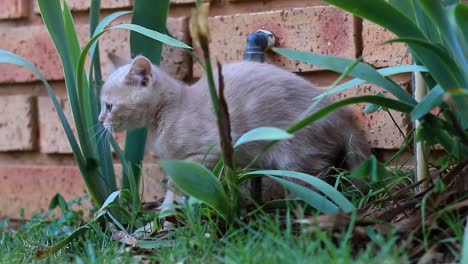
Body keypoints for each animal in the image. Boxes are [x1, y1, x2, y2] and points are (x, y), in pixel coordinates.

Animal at [100, 55, 372, 206]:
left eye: (108, 106)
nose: (101, 119)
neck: (172, 109)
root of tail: (341, 114)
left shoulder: (209, 151)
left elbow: (179, 186)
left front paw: (166, 214)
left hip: (295, 152)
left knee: (312, 180)